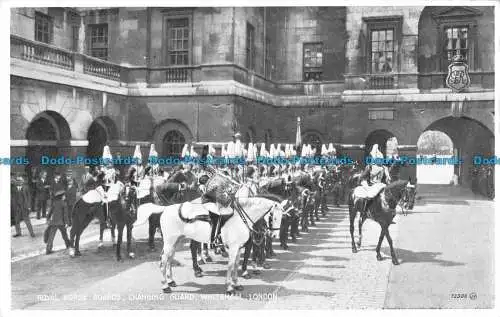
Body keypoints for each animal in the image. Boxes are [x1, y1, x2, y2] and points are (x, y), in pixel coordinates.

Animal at [135, 195, 284, 294]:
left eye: (282, 217)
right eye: (273, 217)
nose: (274, 236)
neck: (240, 217)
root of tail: (165, 209)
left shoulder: (238, 248)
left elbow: (236, 265)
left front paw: (236, 284)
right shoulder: (233, 248)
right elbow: (231, 266)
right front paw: (229, 287)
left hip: (176, 241)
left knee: (169, 260)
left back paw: (171, 281)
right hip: (170, 242)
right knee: (164, 260)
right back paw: (166, 286)